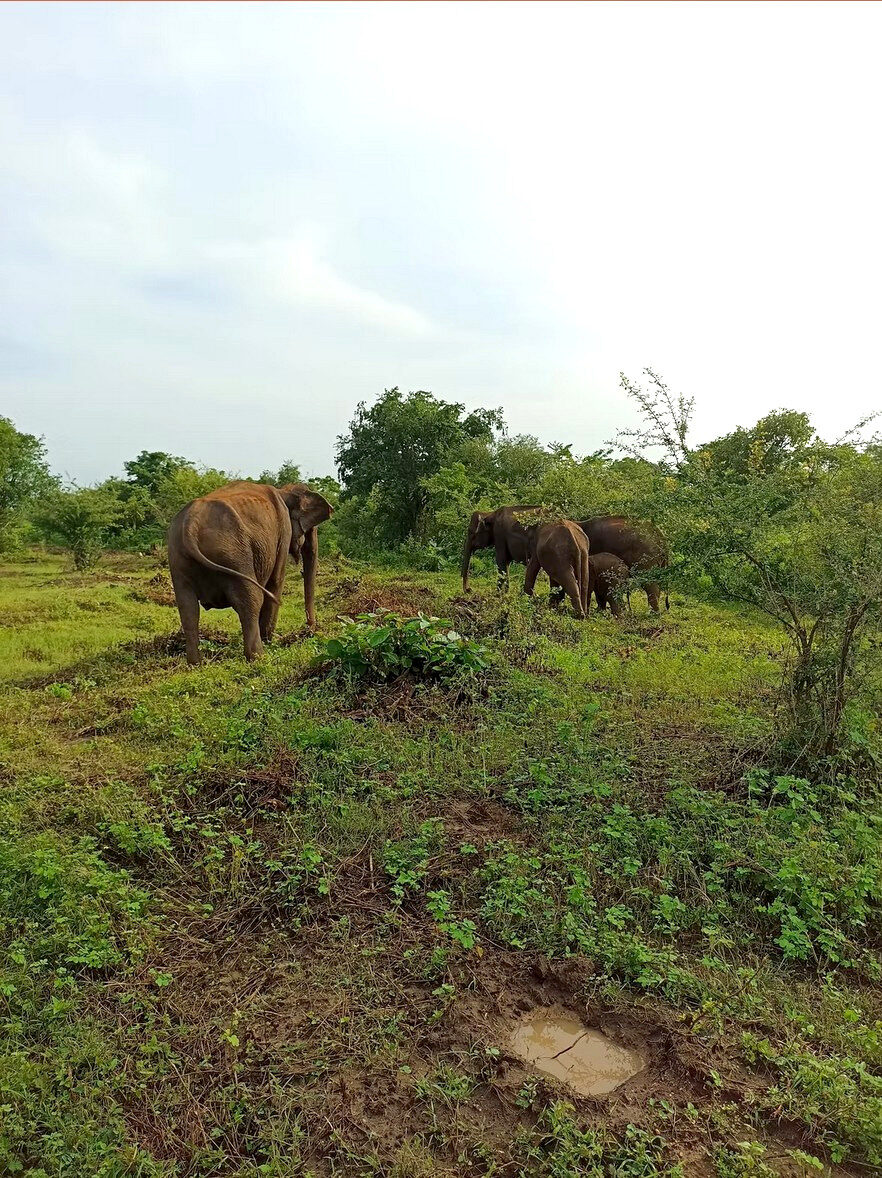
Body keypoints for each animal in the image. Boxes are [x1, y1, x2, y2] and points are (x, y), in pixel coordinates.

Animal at [168, 481, 333, 665]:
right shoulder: (283, 531)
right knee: (250, 600)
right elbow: (276, 581)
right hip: (235, 555)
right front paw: (271, 640)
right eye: (311, 528)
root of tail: (190, 526)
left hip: (179, 561)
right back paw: (259, 657)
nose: (310, 630)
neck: (283, 491)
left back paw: (196, 663)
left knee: (187, 607)